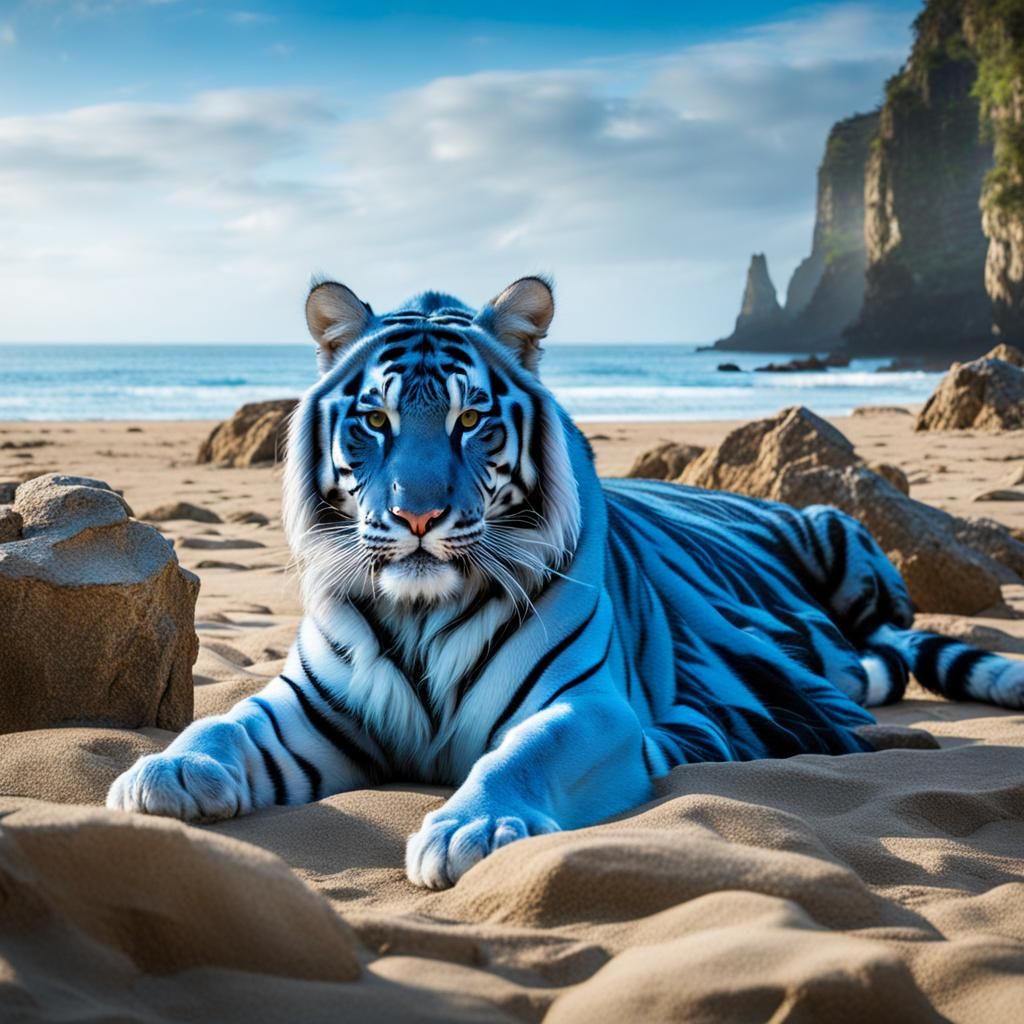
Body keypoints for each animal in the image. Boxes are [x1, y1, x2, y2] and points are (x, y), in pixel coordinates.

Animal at [108, 276, 1024, 889]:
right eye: (375, 419)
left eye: (469, 420)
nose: (416, 516)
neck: (421, 612)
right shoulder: (318, 706)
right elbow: (225, 724)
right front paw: (165, 776)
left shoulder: (589, 707)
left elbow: (520, 755)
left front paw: (474, 828)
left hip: (843, 538)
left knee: (895, 645)